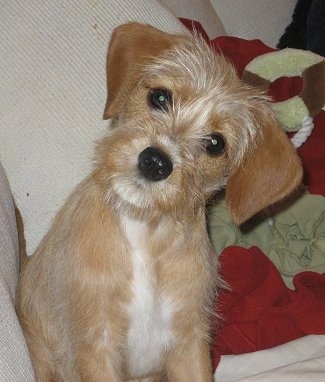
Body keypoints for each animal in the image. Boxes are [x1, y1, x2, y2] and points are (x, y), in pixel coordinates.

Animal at [17, 22, 302, 380]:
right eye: (160, 97)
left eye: (215, 144)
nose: (154, 162)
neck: (145, 233)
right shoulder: (97, 343)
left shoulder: (189, 344)